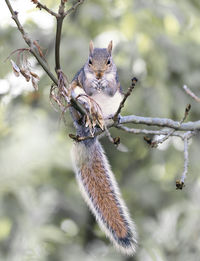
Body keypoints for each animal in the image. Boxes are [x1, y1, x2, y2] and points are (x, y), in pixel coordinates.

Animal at [70, 40, 138, 254]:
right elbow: (88, 87)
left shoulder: (116, 84)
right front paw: (94, 85)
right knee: (83, 104)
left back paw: (111, 118)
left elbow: (111, 88)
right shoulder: (81, 80)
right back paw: (88, 113)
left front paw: (105, 84)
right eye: (90, 61)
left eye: (109, 61)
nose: (99, 74)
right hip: (76, 99)